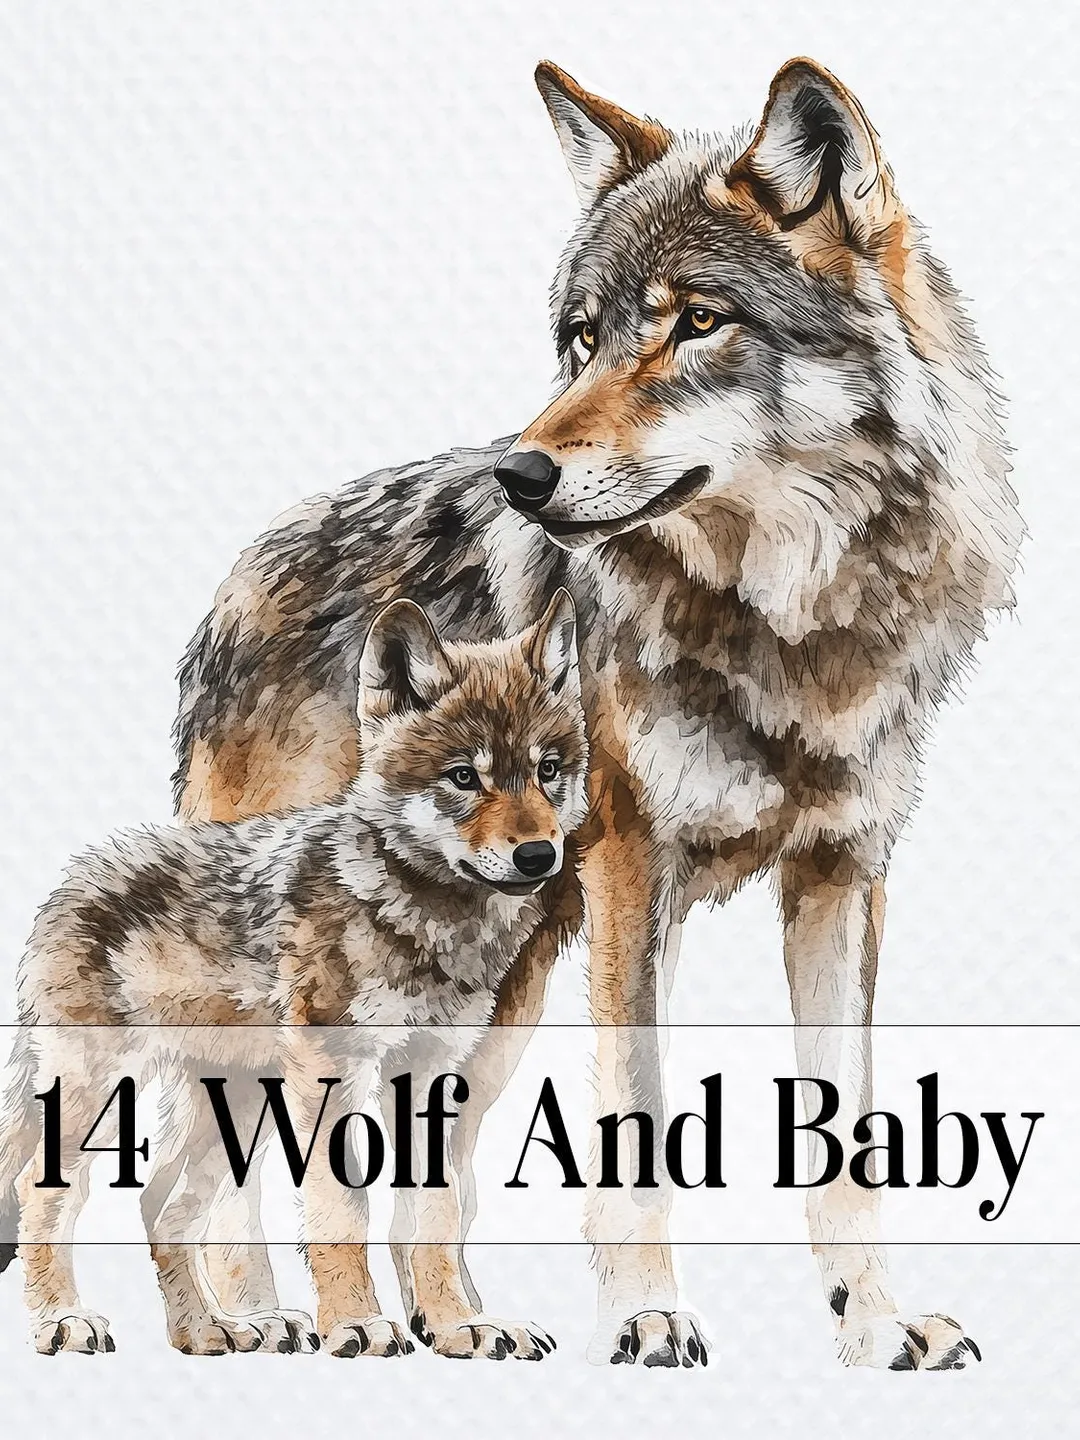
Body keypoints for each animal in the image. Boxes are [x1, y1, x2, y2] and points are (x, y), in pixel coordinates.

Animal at [3, 592, 585, 1358]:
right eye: (464, 777)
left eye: (548, 770)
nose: (539, 855)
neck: (425, 920)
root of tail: (71, 880)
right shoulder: (337, 1069)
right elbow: (343, 1208)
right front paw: (357, 1325)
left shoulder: (431, 1072)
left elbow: (433, 1215)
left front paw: (457, 1326)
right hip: (97, 1098)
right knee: (44, 1196)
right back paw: (62, 1322)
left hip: (234, 1109)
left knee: (161, 1205)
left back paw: (206, 1331)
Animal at [168, 58, 1021, 1369]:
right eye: (582, 338)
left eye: (697, 322)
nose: (520, 474)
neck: (790, 628)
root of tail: (235, 583)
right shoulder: (633, 875)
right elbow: (638, 1120)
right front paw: (648, 1313)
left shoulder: (841, 876)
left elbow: (846, 1145)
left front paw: (874, 1325)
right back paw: (258, 1317)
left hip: (498, 978)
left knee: (429, 1173)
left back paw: (453, 1323)